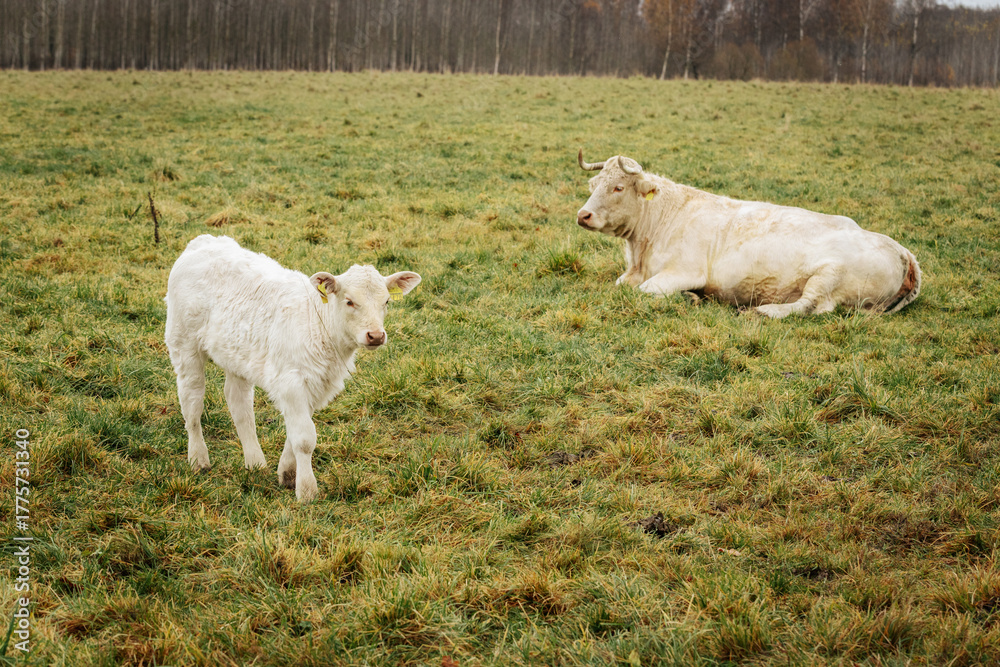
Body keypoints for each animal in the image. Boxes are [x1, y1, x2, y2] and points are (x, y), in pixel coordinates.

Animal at [165, 235, 421, 502]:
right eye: (349, 301)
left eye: (387, 301)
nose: (376, 335)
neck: (320, 326)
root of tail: (203, 241)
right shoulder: (290, 381)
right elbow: (305, 438)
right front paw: (307, 490)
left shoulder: (317, 384)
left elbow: (296, 431)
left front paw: (288, 474)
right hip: (183, 343)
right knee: (191, 401)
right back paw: (198, 459)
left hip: (235, 354)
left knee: (239, 405)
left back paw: (254, 462)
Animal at [575, 151, 921, 318]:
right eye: (594, 185)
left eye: (618, 187)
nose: (583, 215)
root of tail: (903, 252)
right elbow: (622, 285)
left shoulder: (684, 271)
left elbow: (644, 291)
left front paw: (690, 296)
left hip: (828, 276)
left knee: (810, 306)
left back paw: (764, 311)